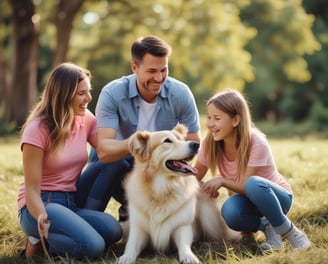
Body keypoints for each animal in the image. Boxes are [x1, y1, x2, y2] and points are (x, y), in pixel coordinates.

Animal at [118, 124, 238, 264]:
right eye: (167, 141)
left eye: (182, 139)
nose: (196, 144)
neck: (162, 189)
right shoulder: (138, 229)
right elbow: (131, 245)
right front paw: (126, 257)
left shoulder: (182, 227)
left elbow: (184, 245)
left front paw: (188, 256)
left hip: (208, 215)